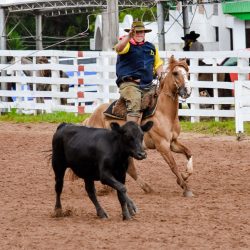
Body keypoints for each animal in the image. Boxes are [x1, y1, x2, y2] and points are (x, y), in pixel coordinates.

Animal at [83, 56, 192, 197]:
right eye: (175, 73)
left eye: (187, 73)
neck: (163, 112)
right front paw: (186, 188)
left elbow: (188, 153)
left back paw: (146, 188)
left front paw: (185, 175)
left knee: (130, 168)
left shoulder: (172, 142)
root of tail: (91, 117)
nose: (187, 91)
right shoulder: (162, 145)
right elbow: (173, 165)